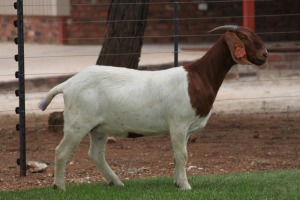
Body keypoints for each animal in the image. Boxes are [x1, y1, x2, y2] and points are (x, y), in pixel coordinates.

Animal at [38, 25, 268, 191]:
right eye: (244, 37)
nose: (265, 54)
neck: (199, 77)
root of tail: (67, 84)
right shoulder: (178, 124)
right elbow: (182, 155)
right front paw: (186, 186)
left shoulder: (186, 129)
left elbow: (177, 155)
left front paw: (177, 183)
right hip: (78, 122)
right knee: (61, 151)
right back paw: (60, 187)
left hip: (99, 128)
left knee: (96, 154)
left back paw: (117, 182)